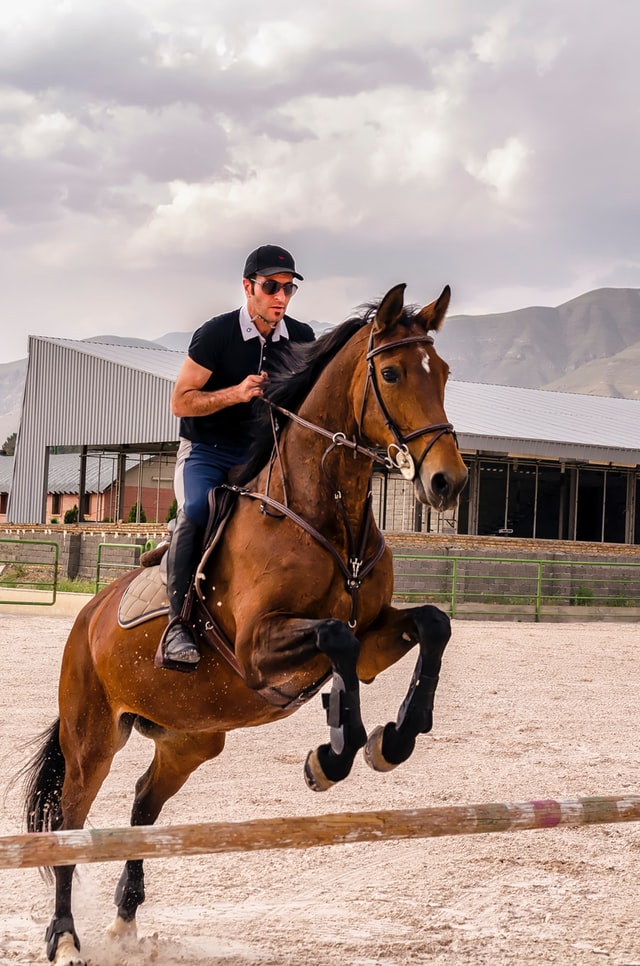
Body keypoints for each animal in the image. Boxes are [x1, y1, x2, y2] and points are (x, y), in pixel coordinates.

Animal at [22, 282, 468, 966]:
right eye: (392, 373)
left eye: (442, 372)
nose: (448, 482)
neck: (327, 513)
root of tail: (89, 617)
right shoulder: (261, 648)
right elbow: (335, 640)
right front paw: (333, 754)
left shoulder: (373, 639)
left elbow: (431, 626)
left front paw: (392, 741)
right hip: (91, 738)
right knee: (70, 822)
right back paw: (66, 937)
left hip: (191, 738)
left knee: (143, 803)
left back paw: (125, 921)